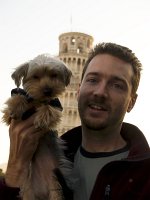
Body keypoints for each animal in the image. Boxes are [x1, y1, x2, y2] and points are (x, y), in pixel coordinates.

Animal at [2, 54, 72, 200]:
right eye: (35, 76)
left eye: (54, 75)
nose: (47, 90)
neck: (38, 100)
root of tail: (42, 191)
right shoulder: (27, 97)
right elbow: (19, 96)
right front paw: (12, 109)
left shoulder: (56, 105)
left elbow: (49, 108)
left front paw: (42, 118)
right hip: (28, 188)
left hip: (56, 181)